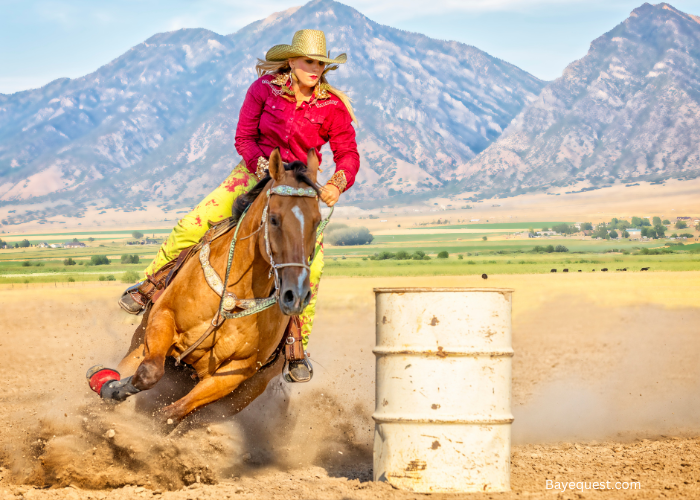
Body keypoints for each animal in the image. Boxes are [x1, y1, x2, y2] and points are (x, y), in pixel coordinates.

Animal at [85, 148, 322, 426]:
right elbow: (148, 373)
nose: (295, 295)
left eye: (317, 221)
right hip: (141, 338)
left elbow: (170, 415)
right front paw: (106, 386)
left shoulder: (235, 373)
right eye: (274, 219)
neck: (232, 296)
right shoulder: (163, 318)